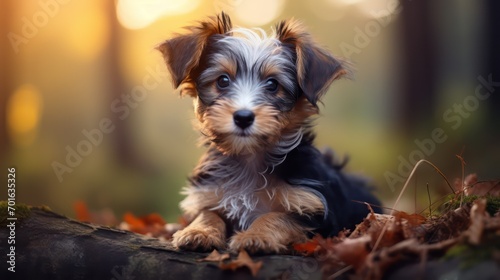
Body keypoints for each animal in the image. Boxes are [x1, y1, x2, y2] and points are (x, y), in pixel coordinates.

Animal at [158, 12, 380, 254]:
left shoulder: (313, 211)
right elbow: (208, 213)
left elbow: (278, 217)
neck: (249, 156)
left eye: (273, 84)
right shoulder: (209, 194)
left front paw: (256, 235)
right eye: (223, 80)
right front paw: (199, 231)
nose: (243, 117)